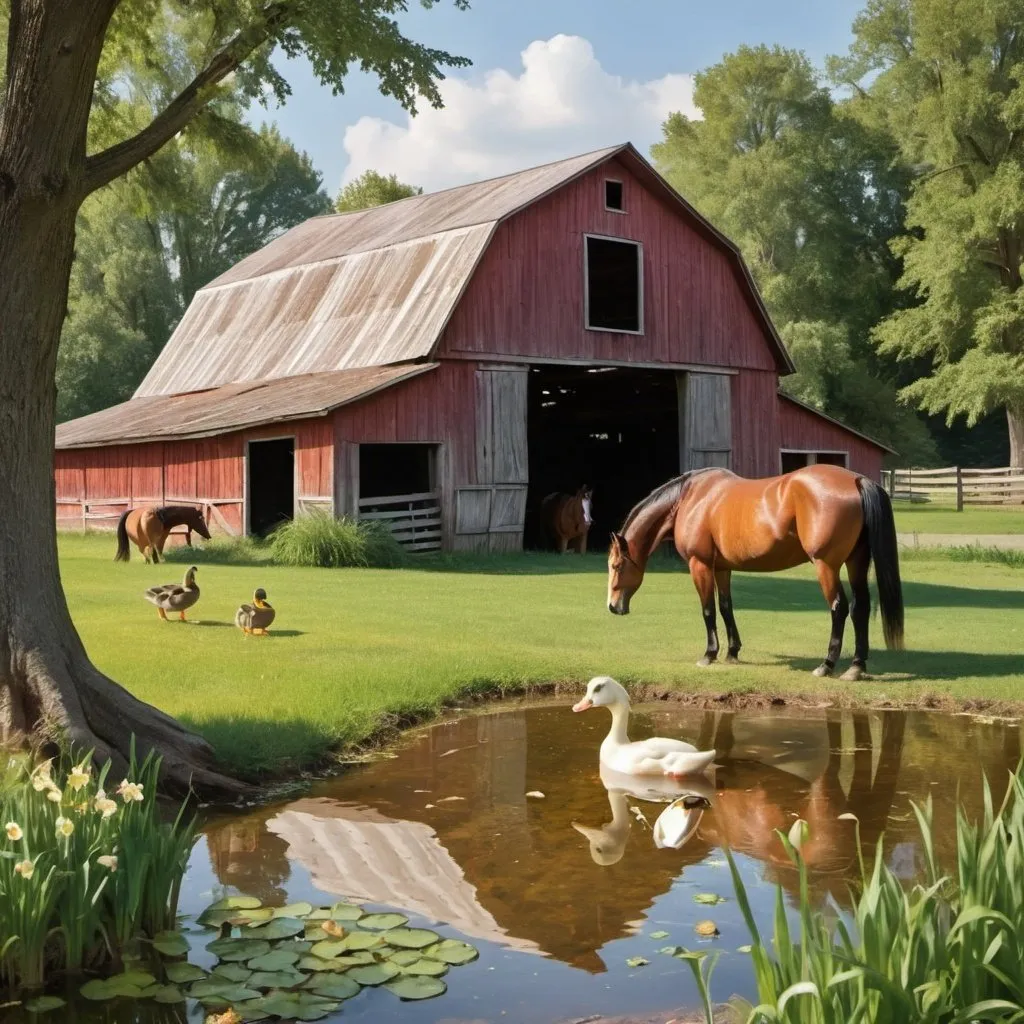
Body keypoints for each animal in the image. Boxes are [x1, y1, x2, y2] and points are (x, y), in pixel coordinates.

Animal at [606, 466, 905, 679]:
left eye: (616, 566)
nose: (612, 606)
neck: (691, 498)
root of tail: (856, 480)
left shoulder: (699, 564)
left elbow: (708, 610)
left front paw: (709, 654)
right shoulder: (722, 568)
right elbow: (726, 607)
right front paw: (732, 651)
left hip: (826, 565)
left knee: (839, 608)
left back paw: (827, 664)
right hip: (856, 562)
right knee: (860, 608)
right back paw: (856, 666)